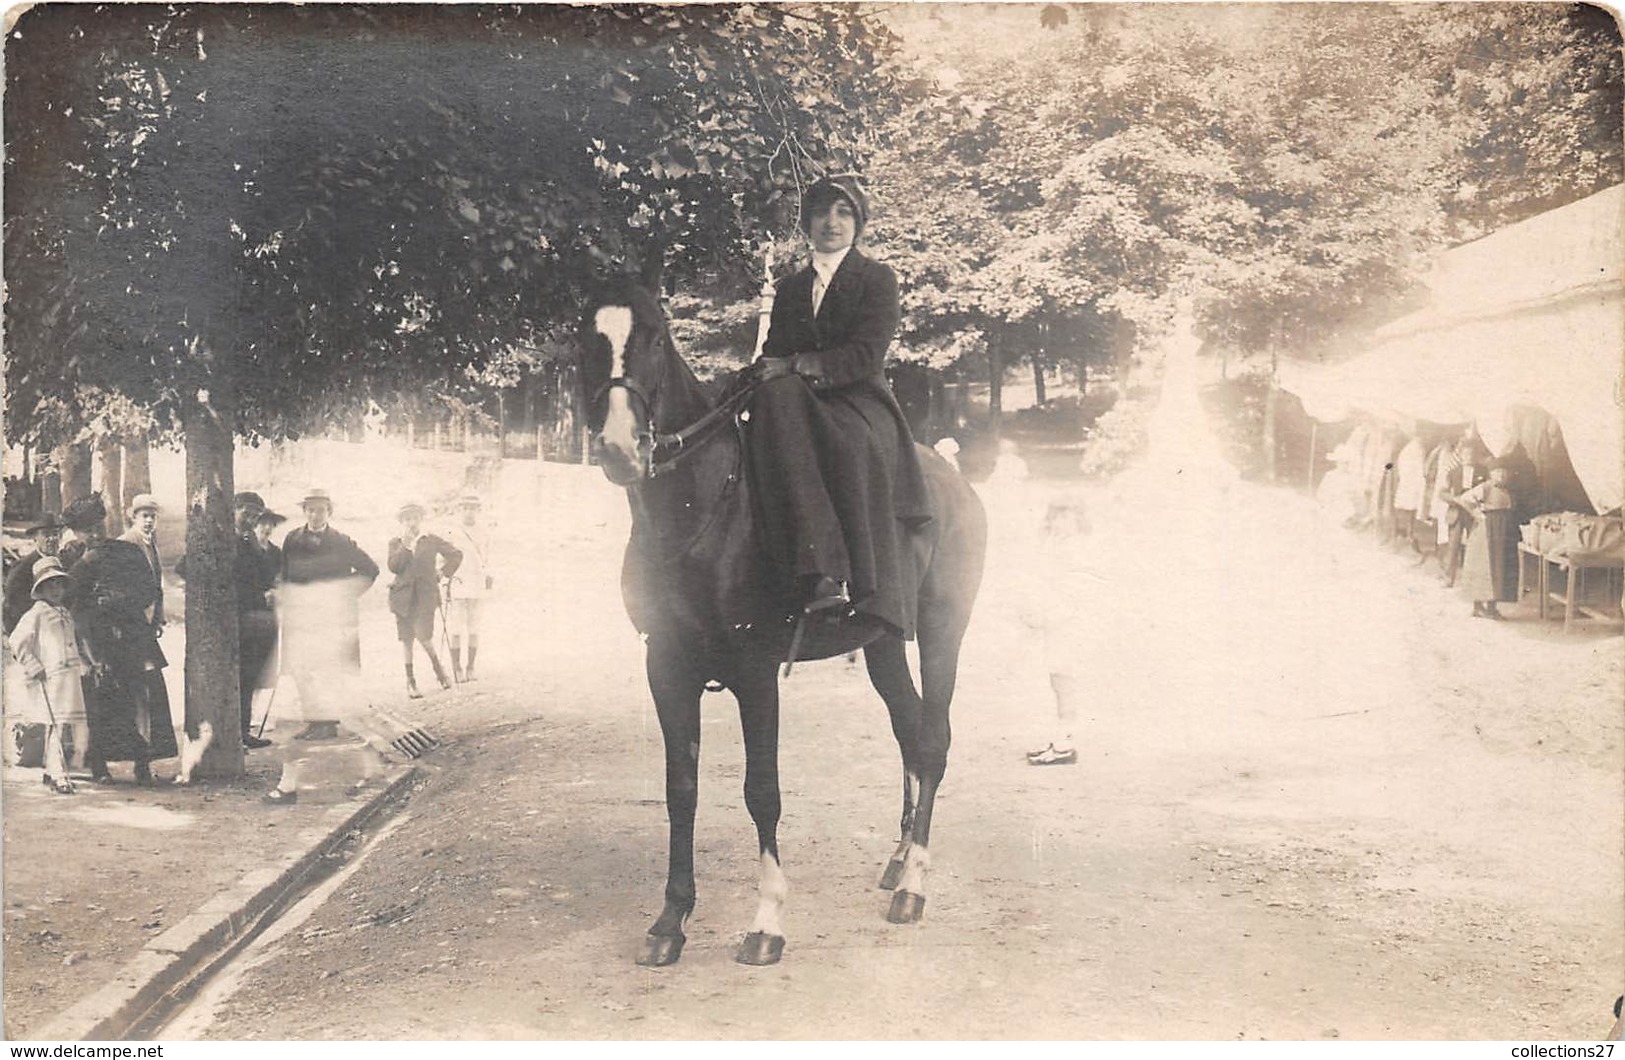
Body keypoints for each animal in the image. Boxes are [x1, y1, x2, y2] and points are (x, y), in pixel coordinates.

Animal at [585, 282, 988, 968]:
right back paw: (898, 859)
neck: (703, 509)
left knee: (933, 741)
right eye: (586, 339)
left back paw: (913, 886)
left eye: (657, 338)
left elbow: (761, 791)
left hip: (942, 633)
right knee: (909, 733)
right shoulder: (665, 667)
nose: (620, 448)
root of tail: (957, 482)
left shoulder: (755, 672)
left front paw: (767, 921)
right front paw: (670, 920)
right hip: (883, 646)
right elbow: (680, 788)